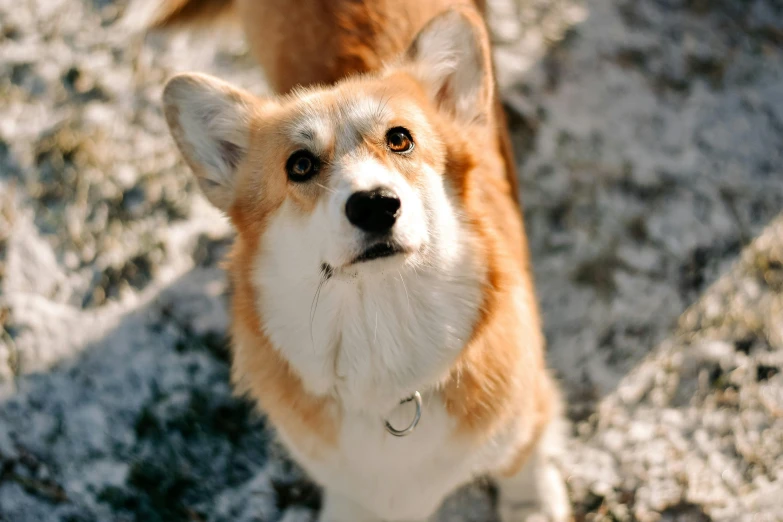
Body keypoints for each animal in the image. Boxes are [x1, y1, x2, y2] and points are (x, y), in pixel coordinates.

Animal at [152, 1, 568, 520]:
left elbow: (522, 460)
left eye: (400, 139)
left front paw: (532, 504)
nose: (374, 205)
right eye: (300, 165)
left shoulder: (528, 409)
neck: (381, 326)